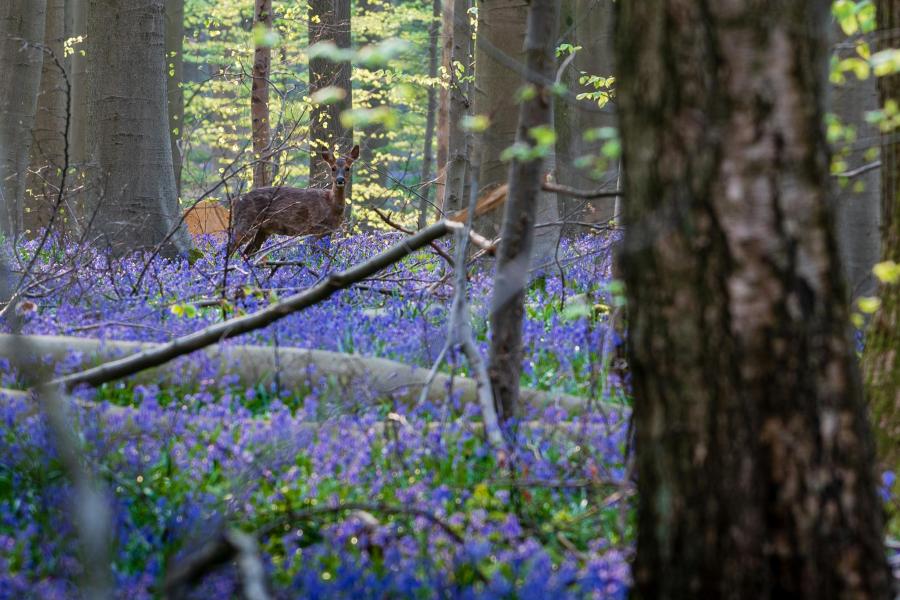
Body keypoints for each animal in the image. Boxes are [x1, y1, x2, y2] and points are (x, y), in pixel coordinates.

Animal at [229, 146, 358, 258]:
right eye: (333, 168)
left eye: (347, 168)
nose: (340, 180)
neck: (331, 204)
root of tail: (235, 201)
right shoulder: (317, 226)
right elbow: (316, 254)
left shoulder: (328, 231)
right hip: (246, 221)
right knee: (230, 247)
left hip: (263, 230)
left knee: (246, 253)